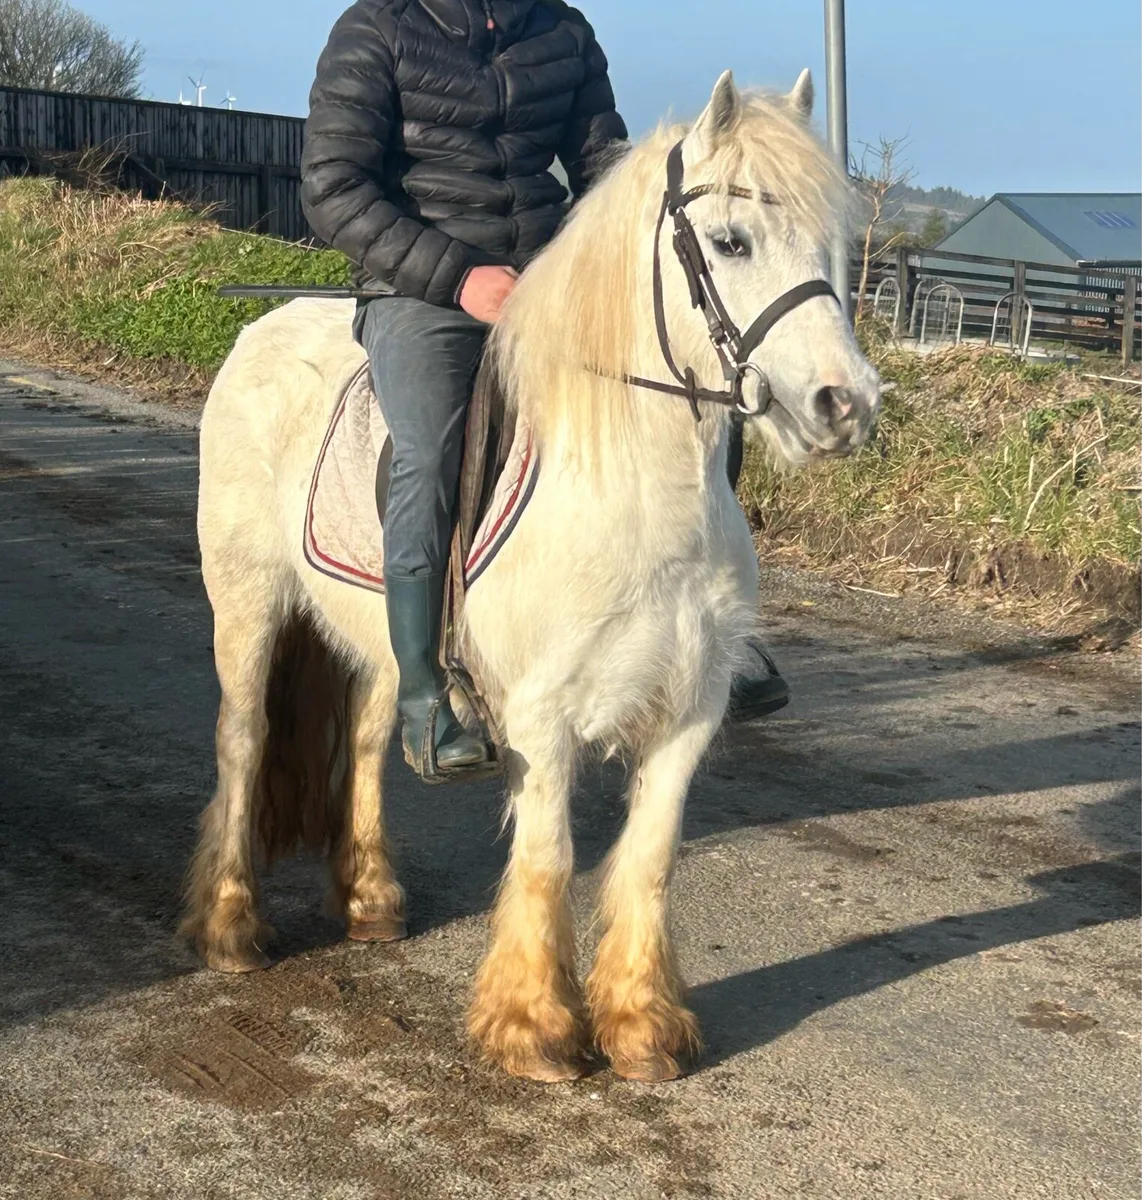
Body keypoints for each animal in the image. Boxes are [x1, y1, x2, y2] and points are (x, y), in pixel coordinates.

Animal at [182, 70, 881, 1084]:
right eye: (729, 241)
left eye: (835, 242)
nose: (846, 405)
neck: (632, 490)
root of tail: (261, 326)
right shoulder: (541, 719)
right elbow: (549, 859)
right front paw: (534, 1029)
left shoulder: (689, 712)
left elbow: (650, 861)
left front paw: (642, 1029)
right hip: (246, 601)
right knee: (242, 738)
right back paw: (232, 929)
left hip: (381, 646)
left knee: (368, 741)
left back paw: (372, 901)